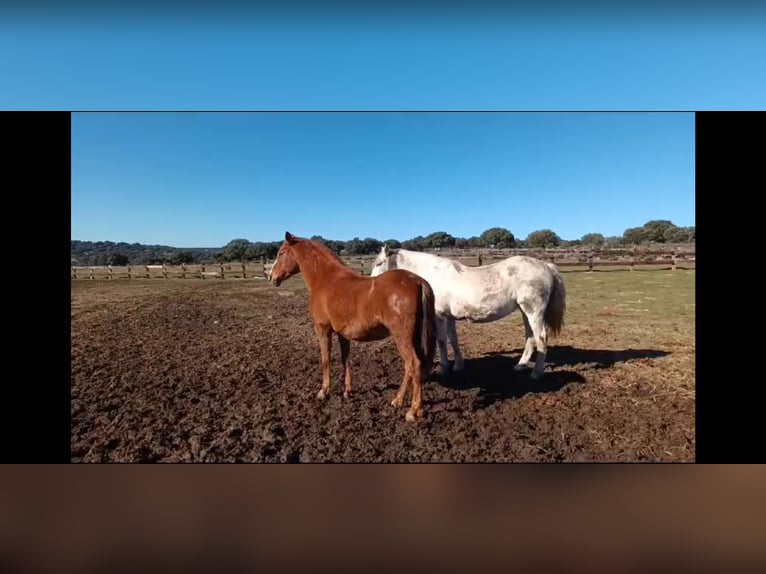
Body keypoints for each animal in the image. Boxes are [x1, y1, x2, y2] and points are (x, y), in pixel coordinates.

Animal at [270, 233, 438, 424]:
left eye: (281, 252)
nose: (271, 276)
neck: (325, 279)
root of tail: (418, 281)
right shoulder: (342, 333)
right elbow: (346, 360)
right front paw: (347, 391)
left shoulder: (322, 329)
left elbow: (325, 359)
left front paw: (323, 391)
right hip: (411, 337)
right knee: (409, 367)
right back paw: (398, 400)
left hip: (402, 336)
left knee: (414, 364)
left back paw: (413, 411)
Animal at [368, 248, 568, 382]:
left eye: (379, 263)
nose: (372, 285)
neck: (433, 276)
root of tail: (546, 265)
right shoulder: (449, 318)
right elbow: (453, 339)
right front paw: (458, 365)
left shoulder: (440, 317)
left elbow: (442, 342)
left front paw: (444, 369)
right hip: (524, 311)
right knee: (530, 337)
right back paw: (520, 365)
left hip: (533, 311)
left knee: (541, 337)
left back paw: (536, 373)